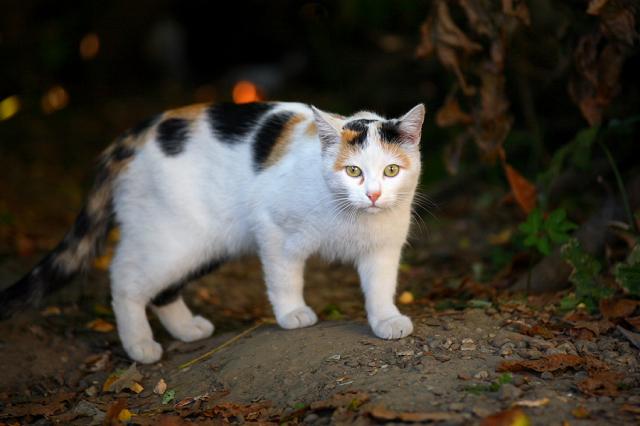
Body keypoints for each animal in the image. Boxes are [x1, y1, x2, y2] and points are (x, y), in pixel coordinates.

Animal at [0, 100, 424, 362]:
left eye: (391, 170)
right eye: (352, 171)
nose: (373, 194)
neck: (352, 215)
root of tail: (132, 136)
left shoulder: (383, 249)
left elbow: (380, 287)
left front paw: (386, 320)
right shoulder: (273, 229)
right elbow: (284, 278)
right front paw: (292, 313)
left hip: (208, 244)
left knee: (162, 289)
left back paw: (187, 329)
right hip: (172, 238)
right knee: (124, 278)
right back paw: (140, 345)